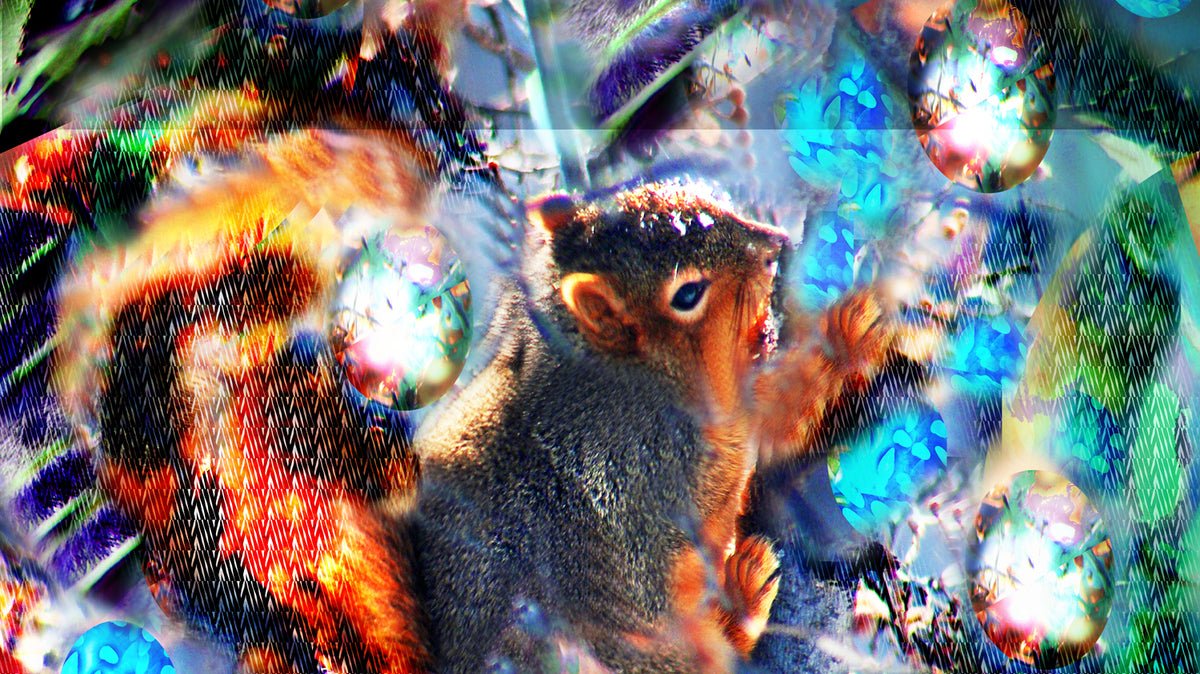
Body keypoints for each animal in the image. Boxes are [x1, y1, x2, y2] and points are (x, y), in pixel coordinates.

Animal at [413, 180, 918, 673]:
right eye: (687, 295)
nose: (776, 245)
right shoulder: (664, 453)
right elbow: (775, 420)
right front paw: (846, 331)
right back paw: (745, 590)